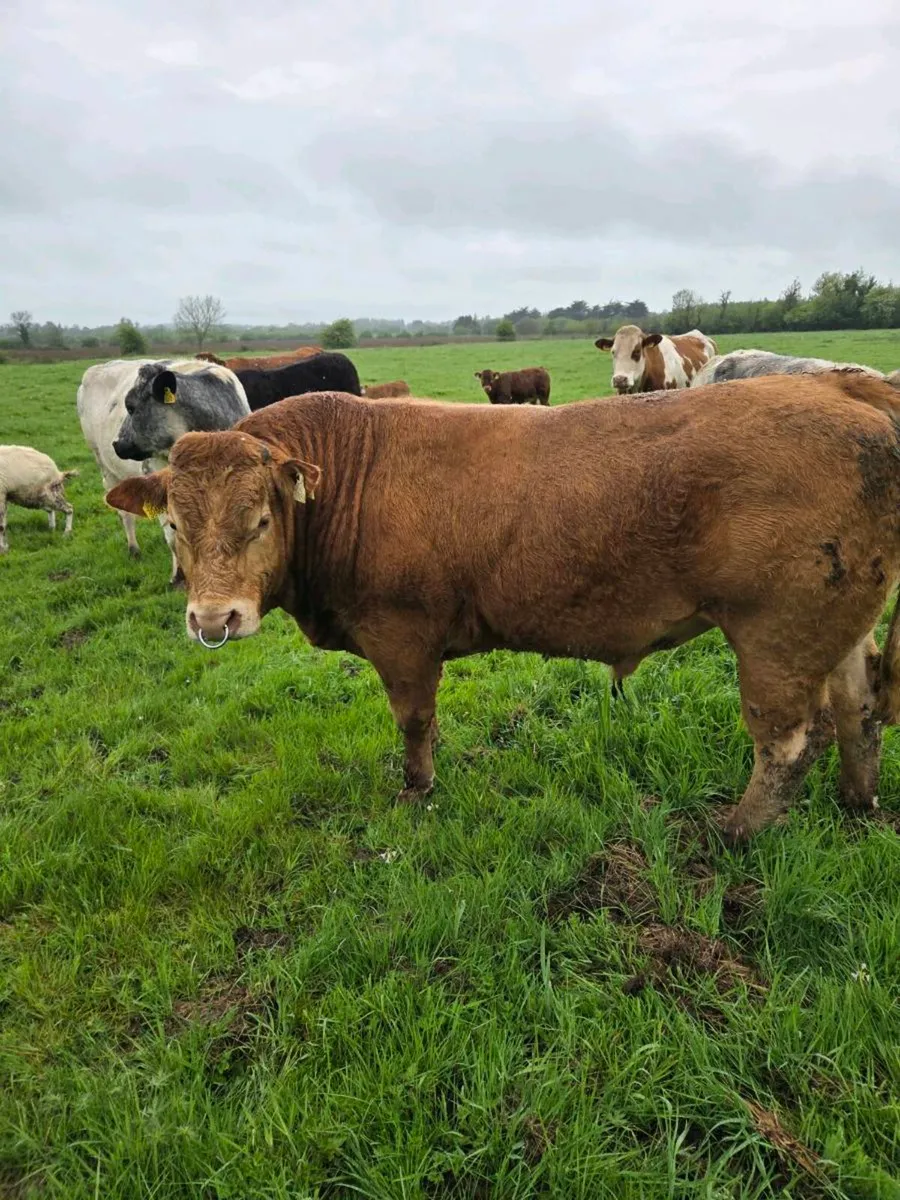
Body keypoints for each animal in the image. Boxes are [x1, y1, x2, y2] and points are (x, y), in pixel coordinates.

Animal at [77, 358, 247, 583]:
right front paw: (179, 577)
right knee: (125, 515)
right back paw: (134, 549)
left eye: (130, 407)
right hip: (106, 468)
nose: (117, 443)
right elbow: (174, 535)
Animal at [107, 372, 900, 844]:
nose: (215, 620)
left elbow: (413, 720)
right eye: (173, 523)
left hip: (779, 633)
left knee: (789, 740)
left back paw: (738, 830)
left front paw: (417, 790)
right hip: (837, 626)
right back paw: (857, 802)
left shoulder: (401, 636)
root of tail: (839, 383)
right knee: (859, 705)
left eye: (261, 520)